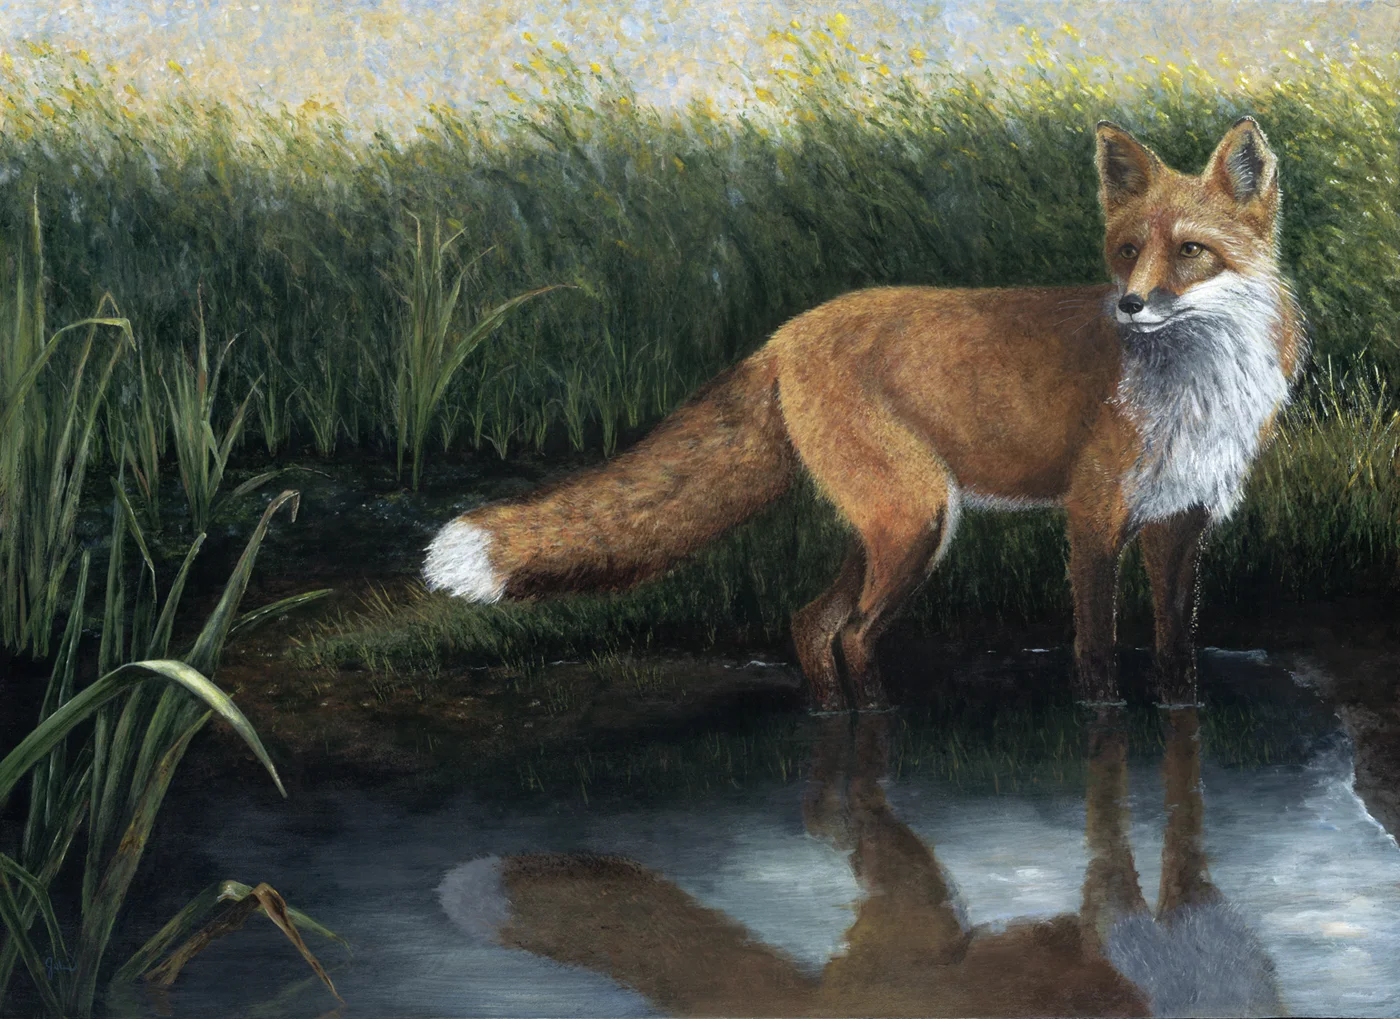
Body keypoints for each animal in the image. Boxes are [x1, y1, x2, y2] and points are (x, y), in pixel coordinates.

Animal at [424, 117, 1306, 712]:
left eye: (1189, 251)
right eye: (1126, 252)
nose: (1129, 305)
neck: (1195, 386)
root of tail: (783, 334)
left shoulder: (1181, 523)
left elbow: (1176, 652)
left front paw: (1182, 715)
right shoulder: (1093, 516)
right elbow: (1095, 654)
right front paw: (1106, 722)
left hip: (888, 527)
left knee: (810, 624)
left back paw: (833, 719)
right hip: (919, 519)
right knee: (848, 633)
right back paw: (878, 723)